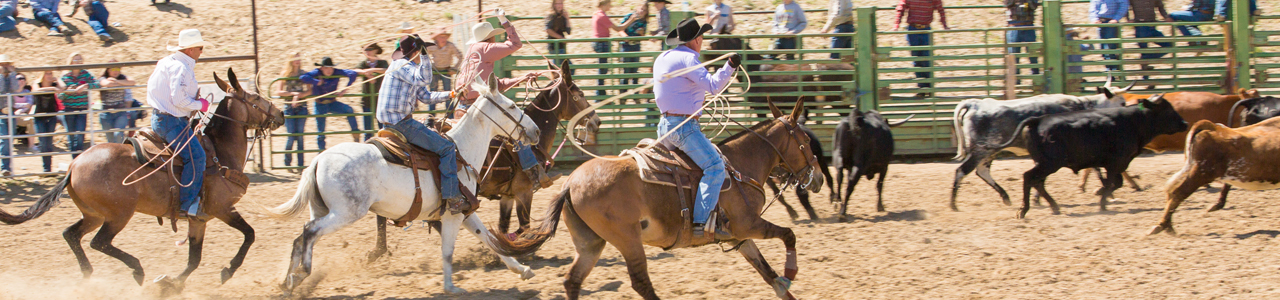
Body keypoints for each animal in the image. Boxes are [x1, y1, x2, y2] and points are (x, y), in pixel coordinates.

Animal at [0, 68, 282, 293]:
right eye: (256, 98)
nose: (280, 114)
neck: (219, 152)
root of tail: (74, 165)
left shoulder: (198, 219)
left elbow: (194, 259)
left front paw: (172, 284)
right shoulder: (222, 208)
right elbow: (249, 234)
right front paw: (227, 271)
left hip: (94, 215)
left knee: (71, 235)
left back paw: (88, 277)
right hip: (118, 214)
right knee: (99, 242)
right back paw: (137, 270)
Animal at [270, 76, 540, 294]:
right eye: (512, 106)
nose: (535, 131)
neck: (461, 151)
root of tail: (318, 160)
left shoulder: (464, 211)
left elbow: (490, 239)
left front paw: (522, 269)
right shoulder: (453, 215)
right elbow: (448, 251)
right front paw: (451, 287)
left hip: (321, 209)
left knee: (302, 237)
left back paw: (286, 281)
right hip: (345, 213)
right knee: (309, 231)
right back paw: (300, 273)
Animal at [488, 98, 819, 300]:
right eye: (805, 141)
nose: (816, 178)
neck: (739, 166)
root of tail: (569, 184)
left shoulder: (739, 236)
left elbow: (767, 272)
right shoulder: (749, 224)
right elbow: (789, 236)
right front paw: (791, 273)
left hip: (591, 242)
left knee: (573, 280)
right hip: (627, 239)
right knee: (640, 282)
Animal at [998, 94, 1187, 219]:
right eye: (1168, 110)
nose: (1185, 123)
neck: (1134, 121)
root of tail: (1037, 120)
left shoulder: (1113, 164)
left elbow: (1116, 182)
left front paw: (1100, 192)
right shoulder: (1116, 162)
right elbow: (1112, 182)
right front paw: (1102, 201)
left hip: (1044, 163)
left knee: (1038, 182)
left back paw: (1054, 206)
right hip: (1049, 163)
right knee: (1029, 177)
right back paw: (1023, 210)